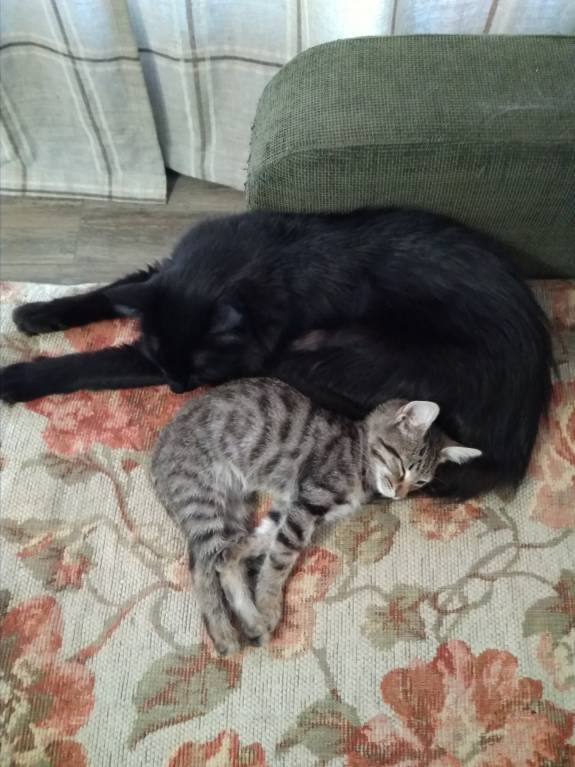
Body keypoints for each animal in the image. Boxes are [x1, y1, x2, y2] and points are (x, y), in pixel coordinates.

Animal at [0, 208, 551, 499]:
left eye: (195, 371)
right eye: (165, 363)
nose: (178, 389)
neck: (248, 265)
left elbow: (92, 363)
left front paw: (17, 377)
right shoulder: (160, 275)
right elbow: (109, 291)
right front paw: (37, 313)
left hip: (344, 350)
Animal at [151, 377, 481, 655]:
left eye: (421, 482)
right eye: (402, 465)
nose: (400, 494)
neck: (359, 457)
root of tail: (157, 450)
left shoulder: (289, 505)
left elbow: (260, 538)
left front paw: (237, 555)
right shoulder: (309, 501)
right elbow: (280, 558)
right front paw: (269, 604)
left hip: (236, 504)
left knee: (218, 557)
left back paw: (247, 614)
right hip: (202, 498)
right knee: (201, 566)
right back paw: (229, 631)